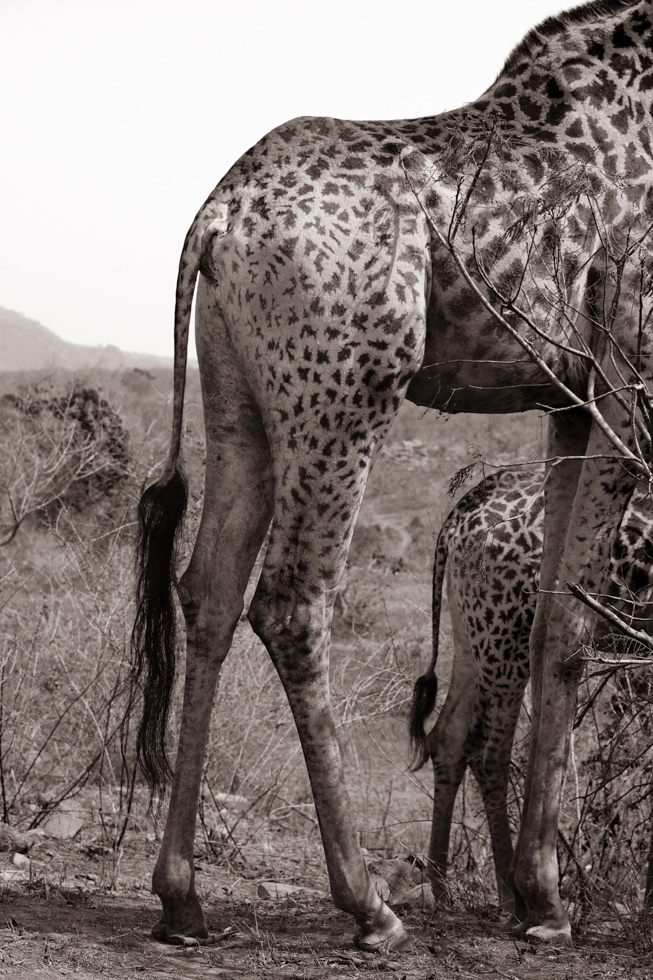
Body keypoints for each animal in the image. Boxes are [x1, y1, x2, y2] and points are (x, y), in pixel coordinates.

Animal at [409, 467, 653, 913]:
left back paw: (439, 886)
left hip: (471, 630)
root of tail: (458, 518)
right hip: (507, 634)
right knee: (489, 752)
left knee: (448, 737)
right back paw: (512, 897)